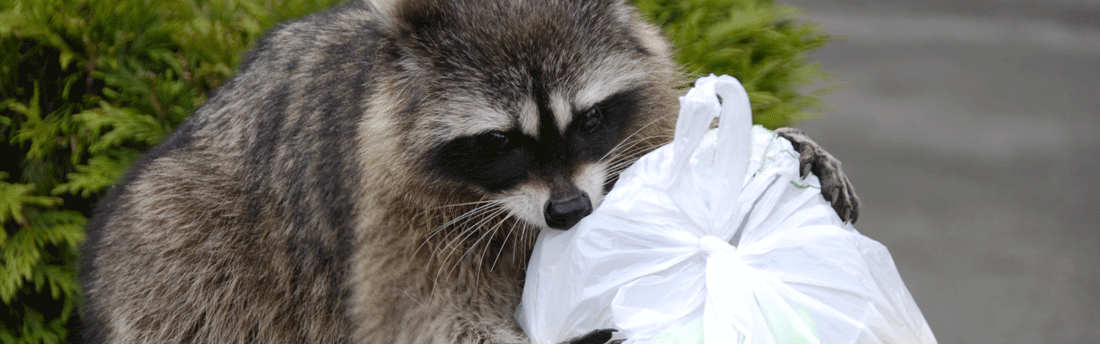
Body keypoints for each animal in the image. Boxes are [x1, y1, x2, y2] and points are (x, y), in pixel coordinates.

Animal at [81, 0, 858, 340]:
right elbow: (435, 318)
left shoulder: (642, 114)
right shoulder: (394, 211)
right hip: (181, 252)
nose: (570, 213)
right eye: (501, 141)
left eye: (588, 121)